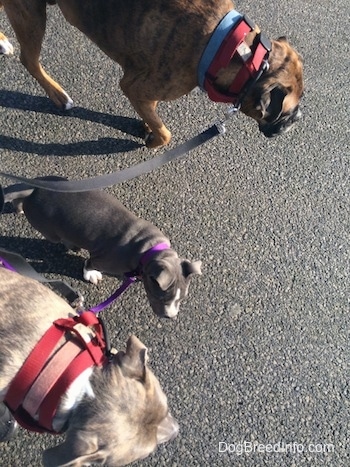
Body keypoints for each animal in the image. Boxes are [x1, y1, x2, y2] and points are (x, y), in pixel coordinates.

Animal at [0, 0, 304, 146]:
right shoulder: (134, 86)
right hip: (31, 14)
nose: (299, 118)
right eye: (285, 112)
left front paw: (147, 124)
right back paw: (57, 94)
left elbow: (152, 111)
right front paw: (154, 140)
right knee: (30, 60)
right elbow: (166, 133)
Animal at [2, 178, 202, 318]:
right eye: (161, 298)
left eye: (182, 299)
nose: (171, 317)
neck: (149, 248)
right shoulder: (102, 259)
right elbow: (89, 264)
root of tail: (35, 189)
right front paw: (91, 275)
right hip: (49, 229)